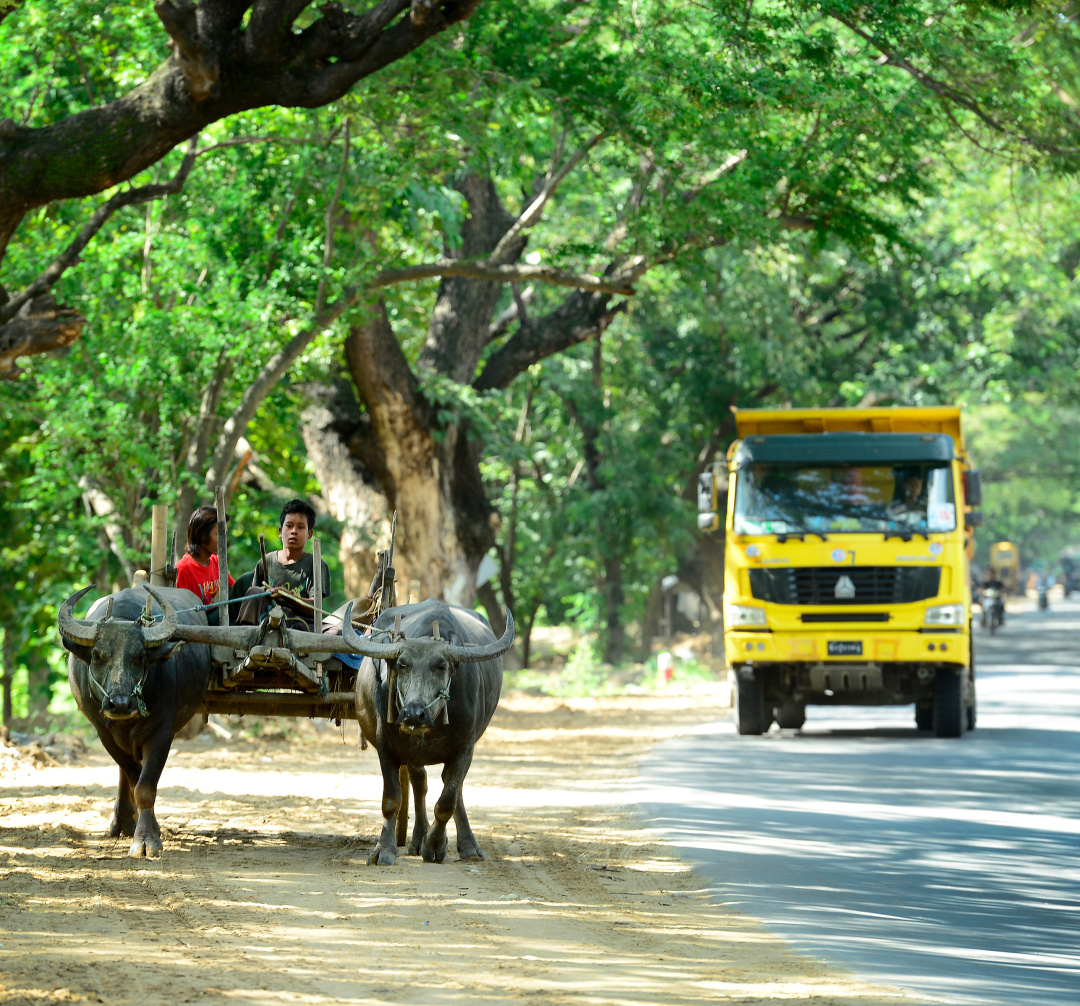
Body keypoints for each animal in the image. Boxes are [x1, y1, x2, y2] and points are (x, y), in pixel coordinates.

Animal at [58, 583, 211, 855]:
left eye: (140, 656)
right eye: (98, 655)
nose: (120, 704)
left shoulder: (162, 733)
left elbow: (145, 786)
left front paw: (147, 839)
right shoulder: (104, 733)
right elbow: (133, 776)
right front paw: (149, 829)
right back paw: (121, 822)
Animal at [343, 596, 516, 864]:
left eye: (441, 666)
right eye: (402, 665)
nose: (414, 713)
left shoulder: (465, 748)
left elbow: (447, 801)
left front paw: (434, 845)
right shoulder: (386, 747)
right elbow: (391, 800)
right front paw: (384, 849)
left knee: (451, 788)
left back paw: (468, 847)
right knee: (420, 782)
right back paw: (416, 839)